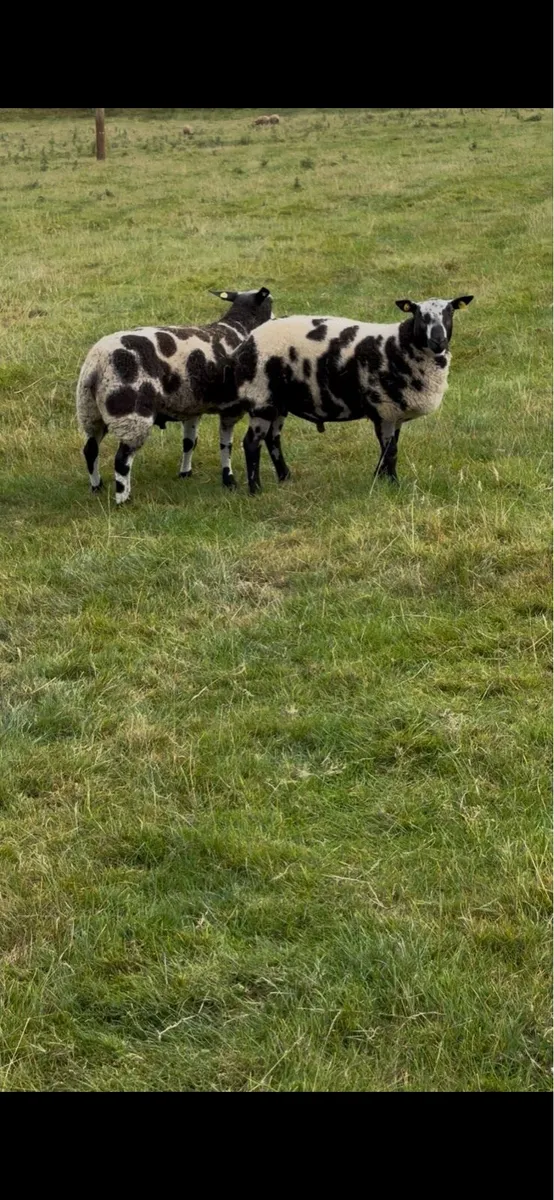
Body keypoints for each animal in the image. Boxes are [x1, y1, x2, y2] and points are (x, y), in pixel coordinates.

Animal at [76, 288, 273, 504]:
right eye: (270, 303)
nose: (276, 318)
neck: (239, 328)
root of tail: (96, 363)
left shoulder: (192, 407)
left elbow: (189, 442)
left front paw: (185, 473)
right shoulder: (231, 408)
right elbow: (226, 445)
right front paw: (229, 479)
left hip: (90, 411)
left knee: (90, 450)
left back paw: (96, 487)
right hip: (130, 415)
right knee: (121, 460)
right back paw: (122, 499)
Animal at [231, 295, 474, 493]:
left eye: (450, 313)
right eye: (420, 316)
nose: (439, 341)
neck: (401, 345)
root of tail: (248, 341)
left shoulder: (394, 412)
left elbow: (389, 448)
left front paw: (379, 478)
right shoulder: (384, 408)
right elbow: (390, 450)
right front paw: (392, 484)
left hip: (278, 401)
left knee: (273, 438)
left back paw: (285, 477)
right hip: (261, 397)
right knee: (252, 442)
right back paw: (255, 489)